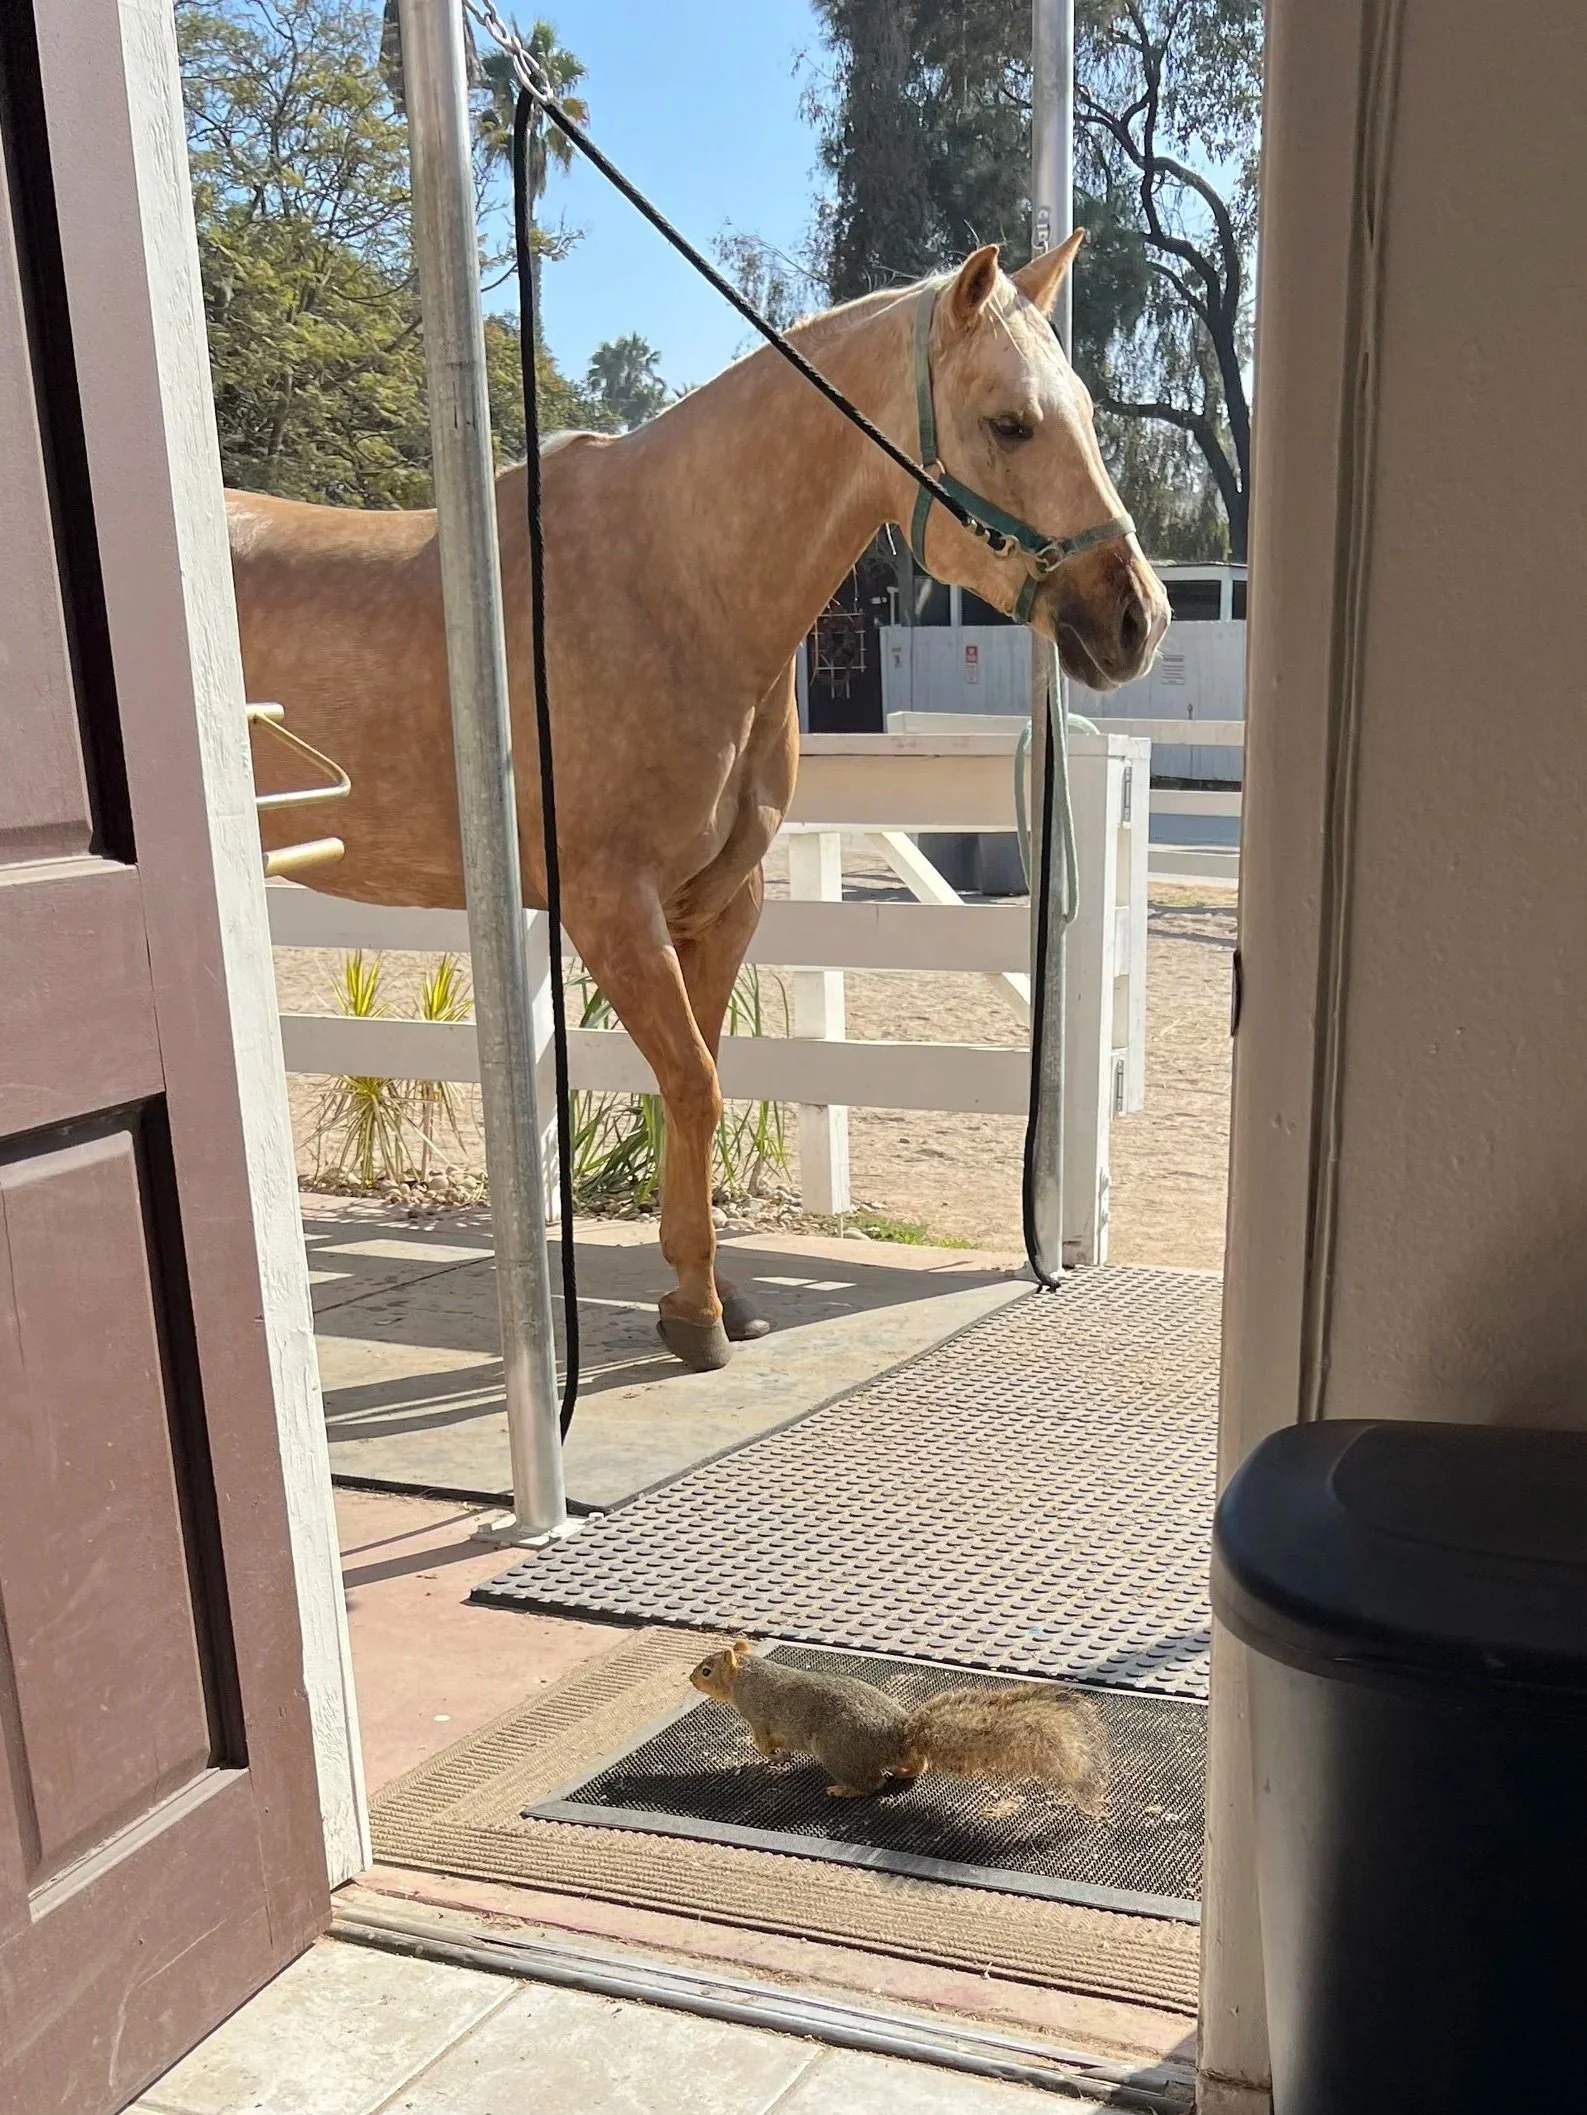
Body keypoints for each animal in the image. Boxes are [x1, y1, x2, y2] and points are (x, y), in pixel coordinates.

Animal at [689, 1640, 1108, 1814]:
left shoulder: (759, 1715)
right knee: (914, 1766)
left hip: (837, 1749)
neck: (749, 1676)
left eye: (707, 1671)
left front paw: (770, 1755)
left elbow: (763, 1740)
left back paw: (843, 1789)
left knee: (871, 1783)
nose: (690, 1679)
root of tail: (899, 1734)